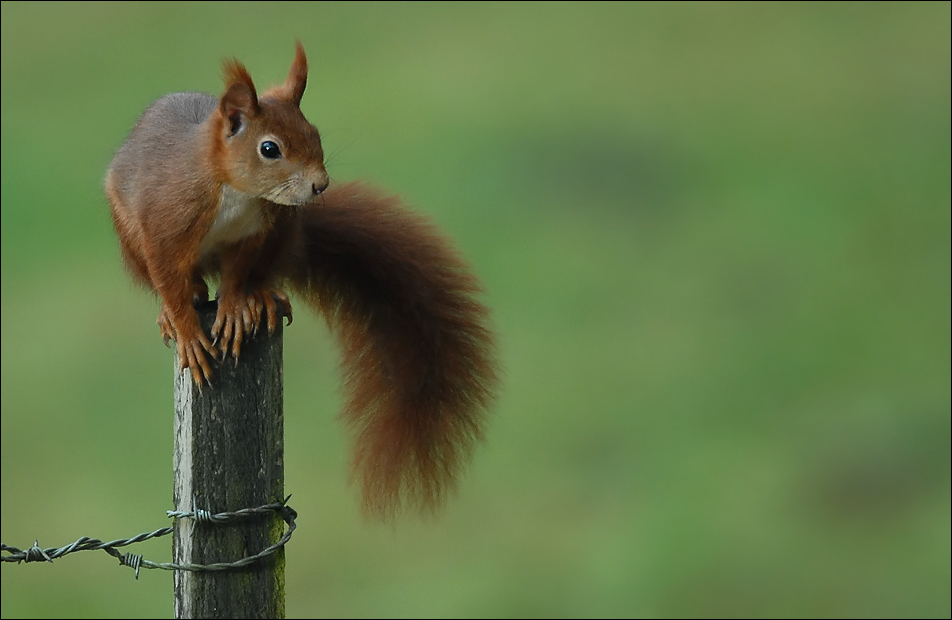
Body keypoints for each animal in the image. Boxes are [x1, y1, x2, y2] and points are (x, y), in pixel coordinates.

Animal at [106, 43, 498, 516]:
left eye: (315, 134)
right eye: (269, 148)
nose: (320, 185)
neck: (236, 191)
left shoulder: (255, 233)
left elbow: (237, 274)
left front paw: (234, 307)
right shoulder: (165, 223)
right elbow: (169, 277)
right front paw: (186, 331)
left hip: (284, 228)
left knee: (260, 273)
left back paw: (262, 298)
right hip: (131, 239)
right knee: (182, 284)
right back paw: (178, 309)